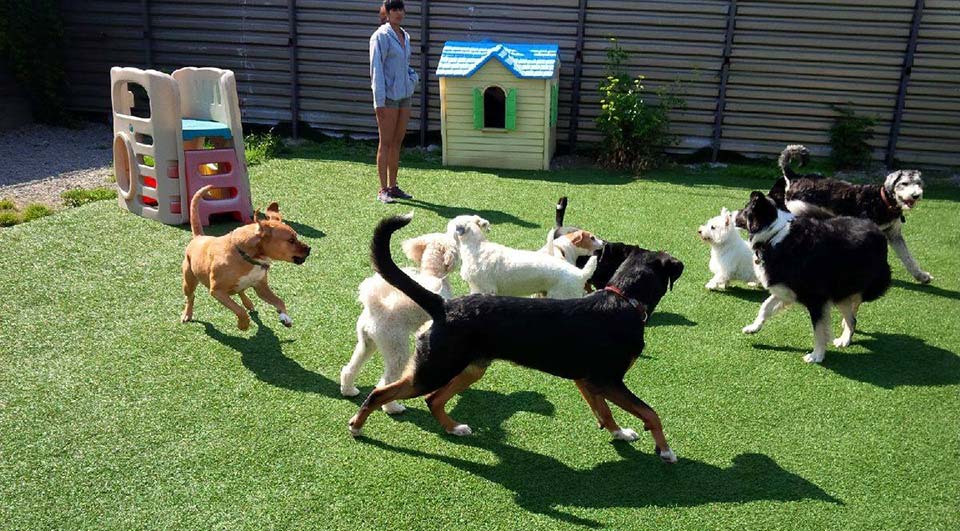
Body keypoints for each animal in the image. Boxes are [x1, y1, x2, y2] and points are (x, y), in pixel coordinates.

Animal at [180, 185, 312, 330]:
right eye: (291, 240)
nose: (309, 249)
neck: (246, 257)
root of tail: (199, 237)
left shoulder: (261, 287)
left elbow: (279, 301)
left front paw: (285, 317)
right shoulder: (217, 291)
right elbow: (239, 310)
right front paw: (243, 324)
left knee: (241, 291)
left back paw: (248, 303)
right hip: (189, 281)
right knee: (190, 297)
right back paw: (187, 314)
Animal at [340, 231, 460, 414]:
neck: (432, 272)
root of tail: (376, 308)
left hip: (367, 343)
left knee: (351, 367)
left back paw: (349, 390)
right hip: (397, 349)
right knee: (385, 384)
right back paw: (393, 408)